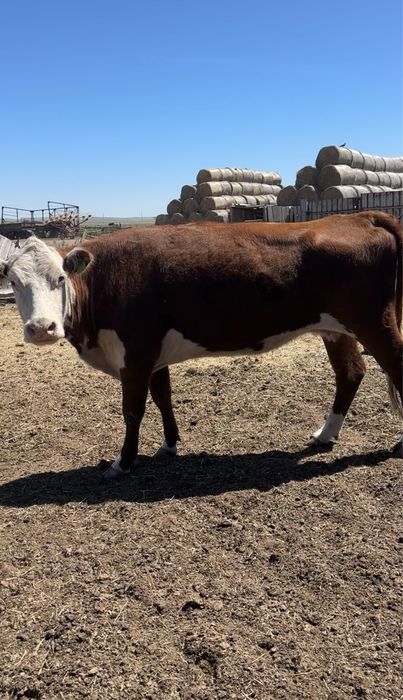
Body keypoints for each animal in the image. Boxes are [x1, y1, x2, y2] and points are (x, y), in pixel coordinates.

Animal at [0, 211, 402, 480]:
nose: (41, 328)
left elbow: (133, 410)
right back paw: (324, 435)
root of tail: (359, 216)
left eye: (60, 278)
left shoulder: (136, 352)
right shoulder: (154, 354)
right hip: (337, 329)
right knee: (351, 373)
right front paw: (169, 445)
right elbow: (163, 398)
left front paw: (123, 462)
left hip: (374, 324)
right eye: (15, 282)